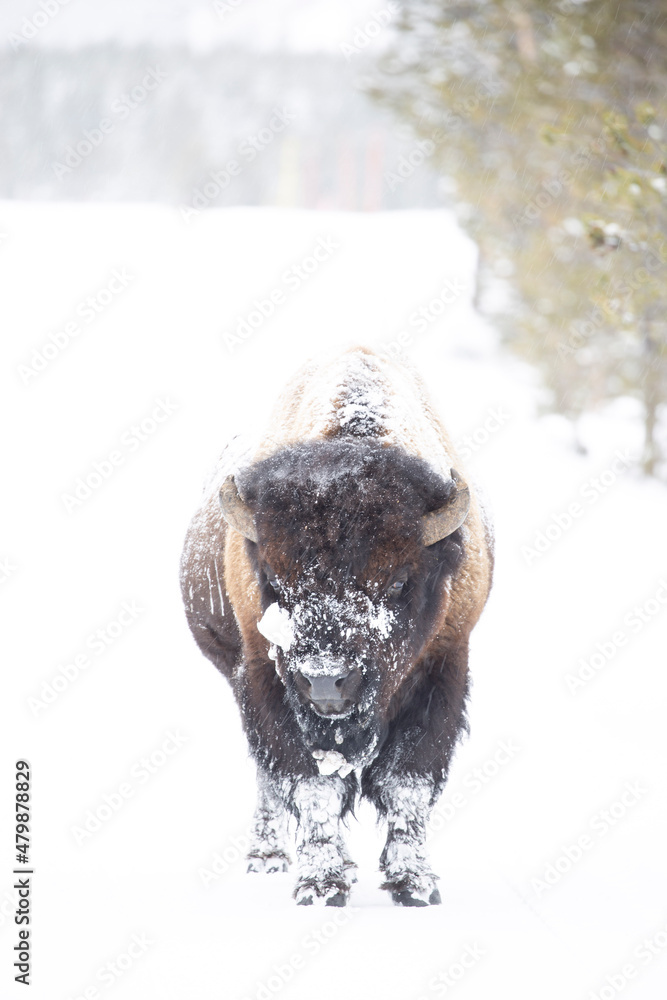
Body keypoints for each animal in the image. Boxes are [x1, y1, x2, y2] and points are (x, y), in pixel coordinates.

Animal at [180, 347, 493, 906]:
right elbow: (311, 784)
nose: (326, 682)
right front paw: (322, 885)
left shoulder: (444, 667)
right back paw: (268, 856)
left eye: (398, 581)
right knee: (267, 777)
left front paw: (415, 885)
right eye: (274, 580)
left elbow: (407, 781)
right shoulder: (267, 680)